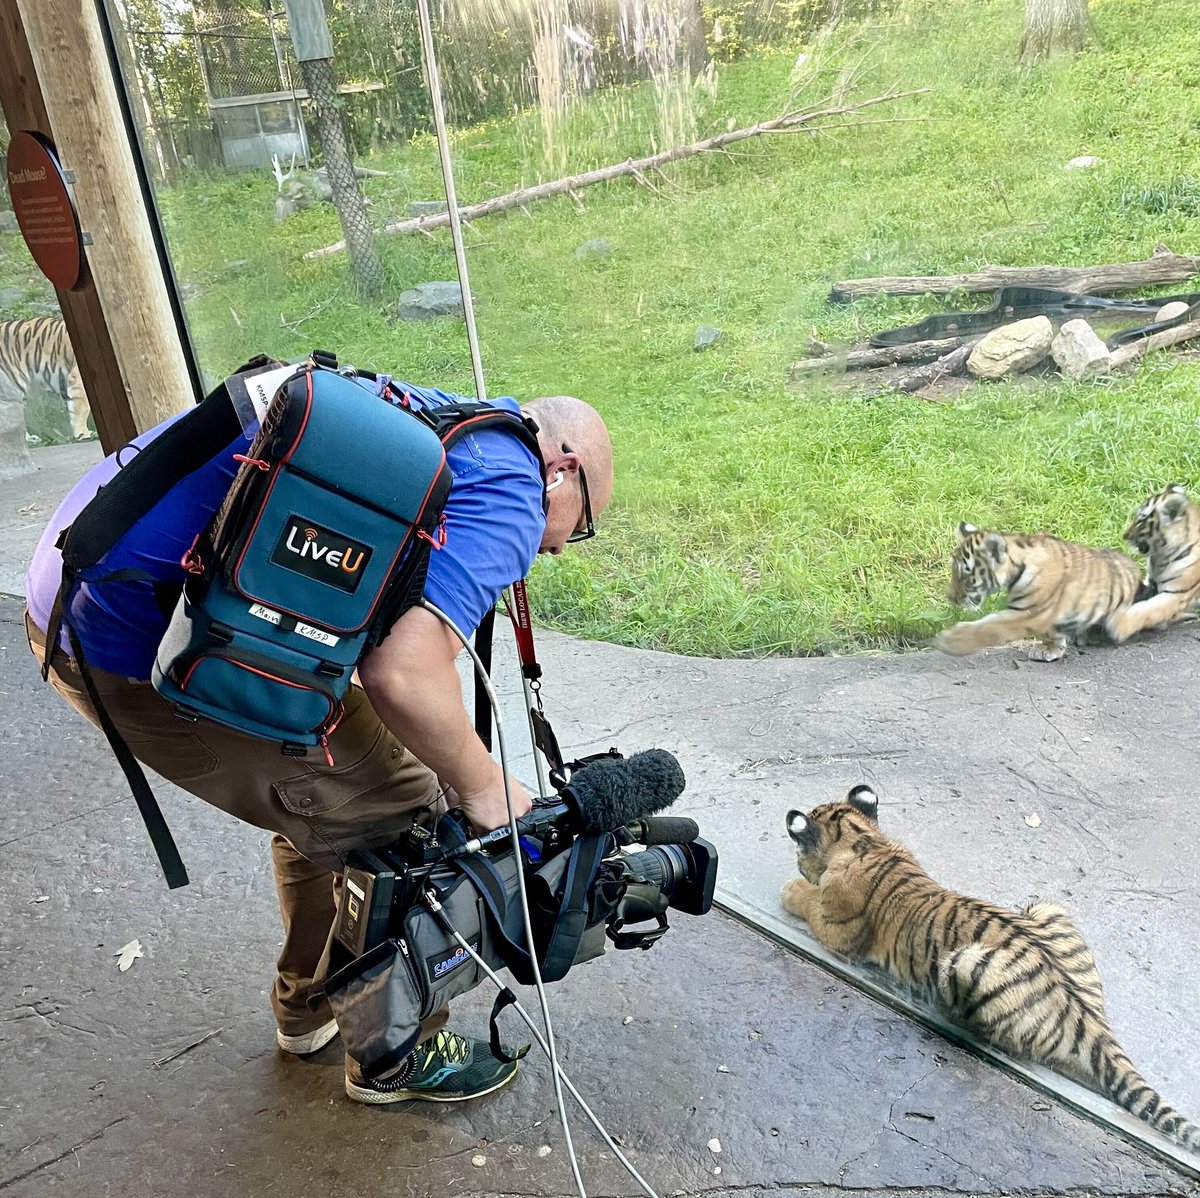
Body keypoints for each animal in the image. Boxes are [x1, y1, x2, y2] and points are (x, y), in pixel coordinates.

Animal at [780, 786, 1200, 1152]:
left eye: (799, 850)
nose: (798, 863)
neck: (863, 838)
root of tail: (1088, 1015)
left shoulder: (837, 929)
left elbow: (808, 901)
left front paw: (791, 891)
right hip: (1046, 906)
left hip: (967, 962)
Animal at [932, 521, 1141, 661]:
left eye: (966, 575)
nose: (950, 597)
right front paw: (1051, 649)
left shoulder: (1031, 612)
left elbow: (990, 627)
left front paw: (950, 641)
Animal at [1106, 486, 1200, 644]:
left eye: (1141, 519)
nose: (1124, 535)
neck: (1160, 556)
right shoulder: (1150, 583)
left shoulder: (1176, 594)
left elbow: (1147, 609)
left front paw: (1118, 626)